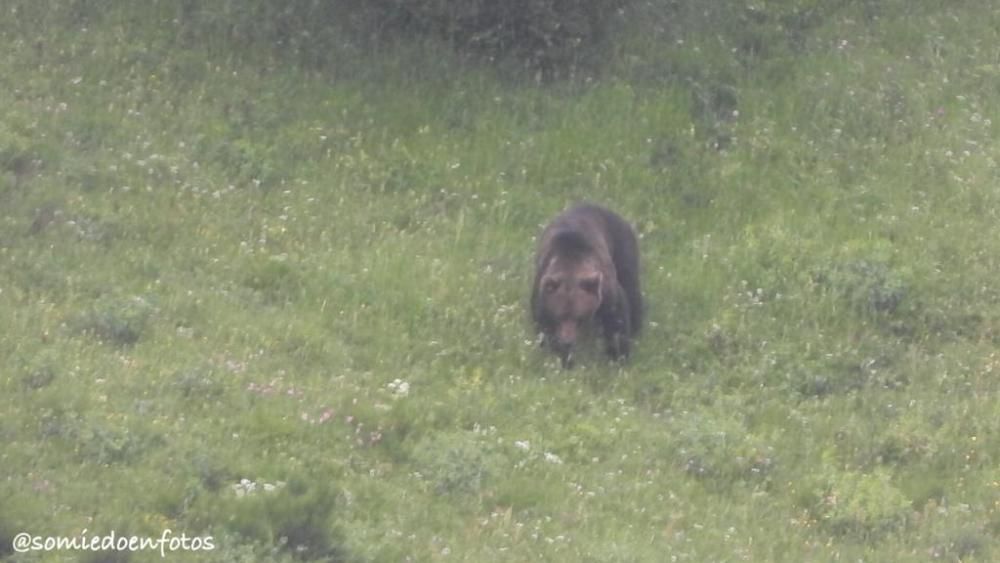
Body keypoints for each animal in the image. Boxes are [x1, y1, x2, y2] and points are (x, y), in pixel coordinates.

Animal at [528, 205, 644, 368]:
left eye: (579, 318)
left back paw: (636, 324)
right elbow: (544, 324)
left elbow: (617, 317)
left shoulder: (605, 288)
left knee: (630, 285)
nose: (567, 340)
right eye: (559, 316)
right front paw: (564, 358)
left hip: (622, 245)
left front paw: (618, 354)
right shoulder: (543, 291)